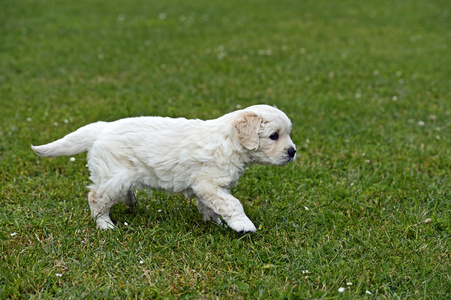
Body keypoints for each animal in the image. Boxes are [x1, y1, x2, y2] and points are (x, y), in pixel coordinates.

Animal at [31, 104, 296, 233]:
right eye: (274, 136)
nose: (293, 152)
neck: (230, 141)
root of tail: (102, 128)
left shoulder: (211, 187)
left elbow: (212, 206)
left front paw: (215, 224)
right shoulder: (208, 183)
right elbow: (233, 204)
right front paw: (243, 225)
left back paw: (129, 200)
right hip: (114, 174)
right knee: (96, 197)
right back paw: (104, 225)